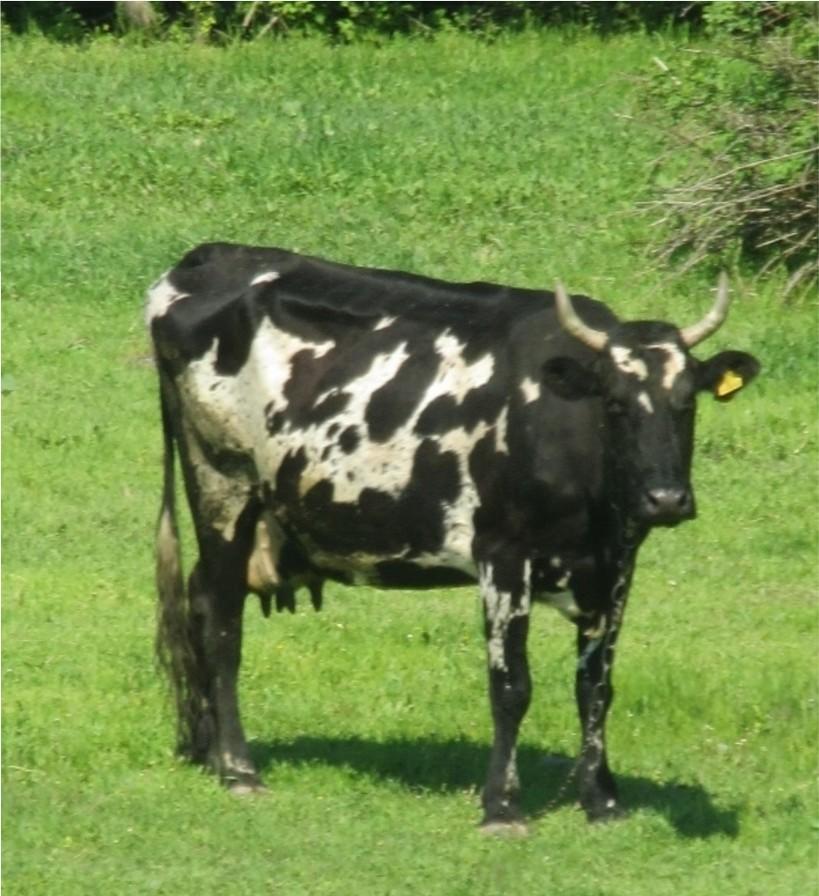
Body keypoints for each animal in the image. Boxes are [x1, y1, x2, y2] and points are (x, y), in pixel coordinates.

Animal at [147, 242, 764, 828]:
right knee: (222, 622)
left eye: (686, 403)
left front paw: (603, 801)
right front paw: (502, 807)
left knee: (199, 598)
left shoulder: (616, 564)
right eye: (613, 402)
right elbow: (511, 686)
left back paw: (207, 752)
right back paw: (239, 769)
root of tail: (205, 257)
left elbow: (596, 687)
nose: (666, 499)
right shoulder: (503, 555)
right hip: (222, 483)